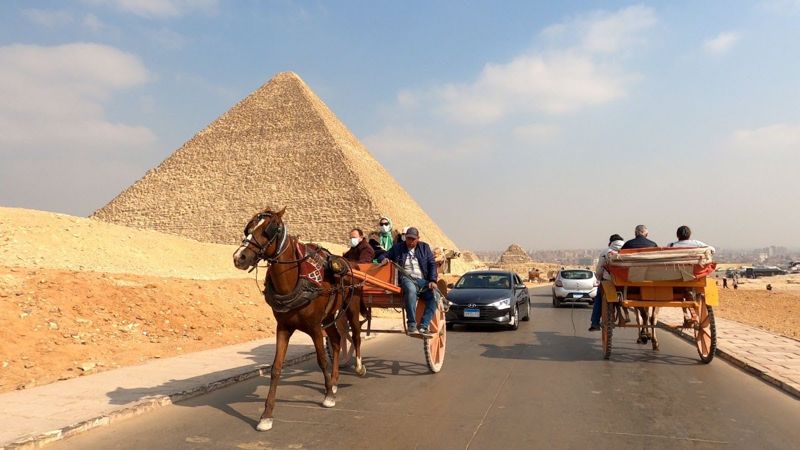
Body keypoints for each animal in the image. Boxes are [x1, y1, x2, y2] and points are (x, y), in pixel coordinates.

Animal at [231, 206, 366, 430]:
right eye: (248, 228)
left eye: (271, 229)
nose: (239, 257)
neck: (293, 281)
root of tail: (349, 263)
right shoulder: (283, 328)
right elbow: (276, 368)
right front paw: (266, 415)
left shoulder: (314, 328)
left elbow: (322, 360)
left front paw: (328, 396)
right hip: (329, 317)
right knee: (337, 341)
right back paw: (335, 382)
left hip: (351, 309)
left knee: (356, 335)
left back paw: (358, 368)